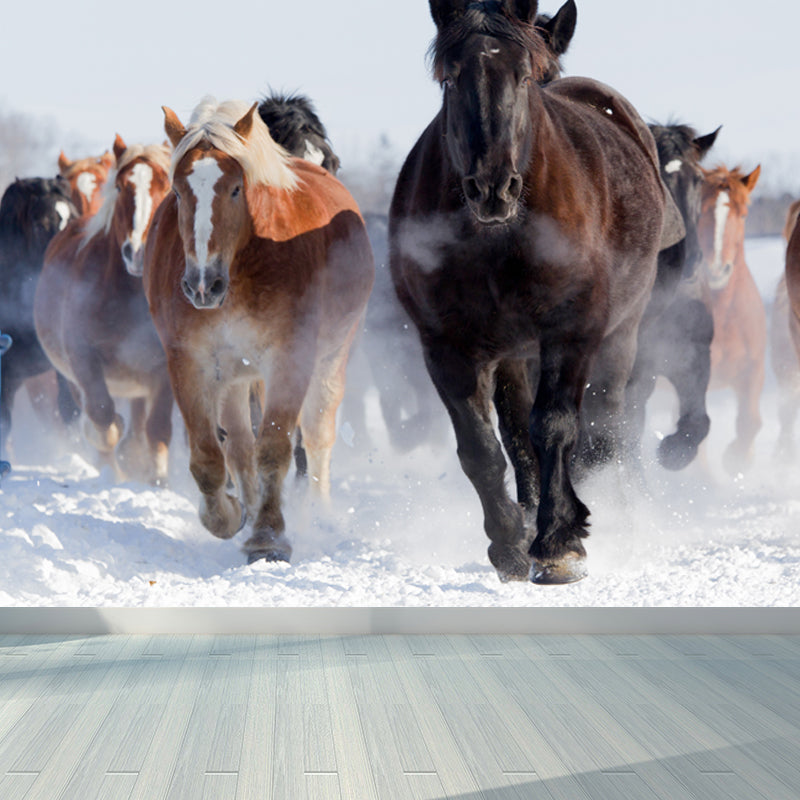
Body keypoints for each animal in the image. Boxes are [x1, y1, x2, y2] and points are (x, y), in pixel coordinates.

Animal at [34, 136, 174, 484]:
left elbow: (158, 426)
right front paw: (112, 471)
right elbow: (101, 417)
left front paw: (157, 478)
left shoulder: (166, 366)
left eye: (167, 186)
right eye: (122, 187)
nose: (137, 252)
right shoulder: (83, 360)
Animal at [143, 98, 374, 564]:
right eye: (177, 191)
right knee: (238, 445)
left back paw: (318, 513)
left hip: (329, 360)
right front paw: (230, 516)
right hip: (235, 374)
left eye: (236, 188)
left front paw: (268, 538)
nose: (202, 285)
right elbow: (209, 456)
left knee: (317, 437)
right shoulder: (189, 362)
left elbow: (275, 447)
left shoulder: (289, 359)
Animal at [389, 0, 672, 584]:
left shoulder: (571, 330)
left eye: (523, 75)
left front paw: (560, 542)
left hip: (621, 334)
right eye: (449, 77)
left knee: (605, 424)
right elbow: (483, 448)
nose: (492, 187)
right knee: (520, 433)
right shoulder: (448, 347)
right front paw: (510, 543)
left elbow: (556, 428)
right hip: (514, 353)